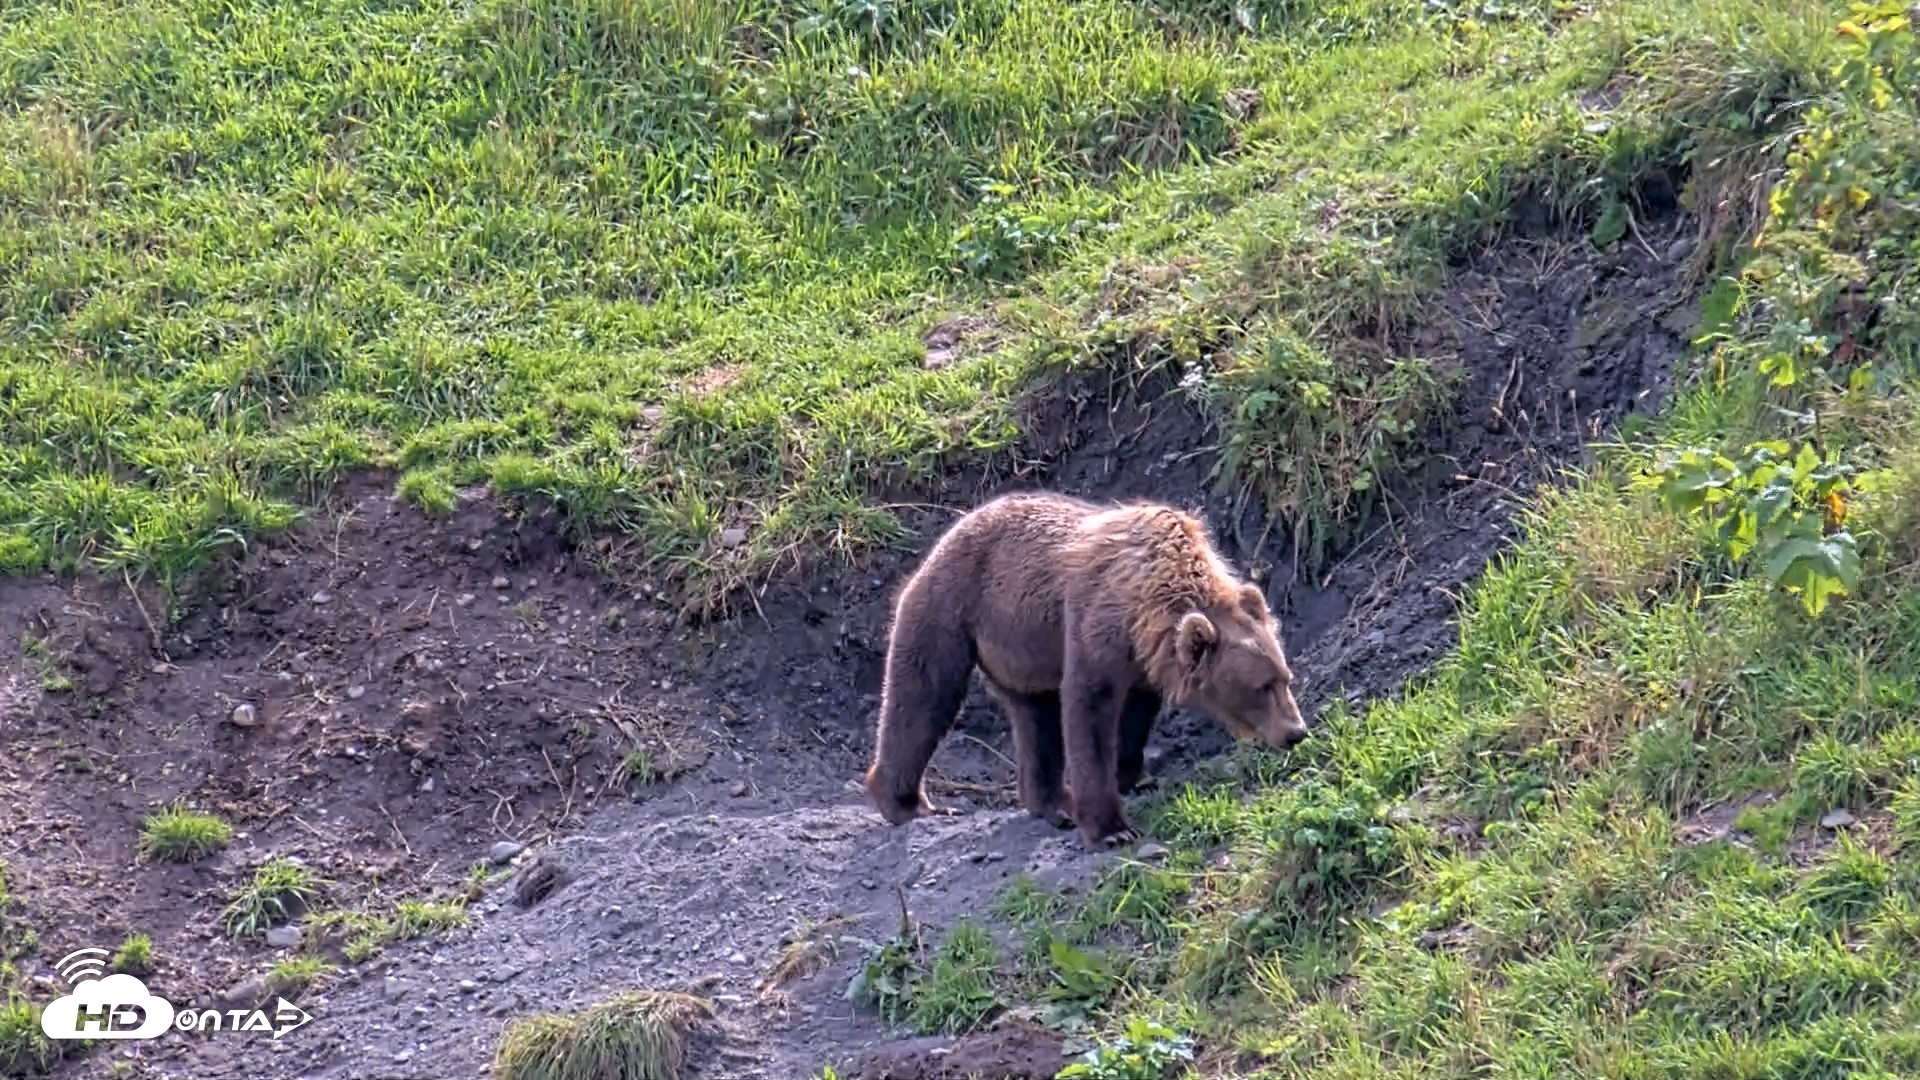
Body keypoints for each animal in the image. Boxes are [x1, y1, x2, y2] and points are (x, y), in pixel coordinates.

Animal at [861, 491, 1310, 848]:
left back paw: (1052, 802)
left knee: (1035, 718)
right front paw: (1113, 828)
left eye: (1285, 678)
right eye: (1261, 686)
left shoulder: (1143, 659)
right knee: (923, 696)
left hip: (1022, 651)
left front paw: (1130, 774)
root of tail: (950, 532)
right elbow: (1088, 712)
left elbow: (1136, 714)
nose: (1296, 732)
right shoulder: (1096, 625)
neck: (1150, 598)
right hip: (952, 610)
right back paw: (908, 803)